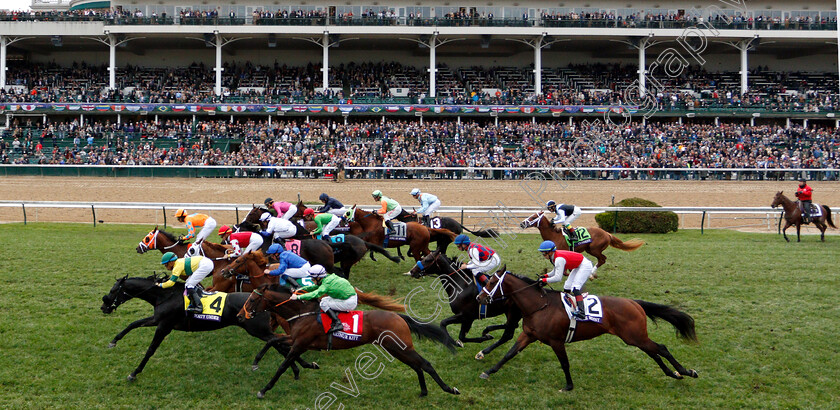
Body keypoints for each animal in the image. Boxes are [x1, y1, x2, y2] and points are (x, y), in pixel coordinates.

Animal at [101, 274, 318, 382]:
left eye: (113, 290)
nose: (104, 307)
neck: (165, 295)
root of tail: (265, 304)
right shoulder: (158, 319)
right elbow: (133, 324)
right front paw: (113, 341)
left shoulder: (164, 325)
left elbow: (150, 350)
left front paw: (134, 373)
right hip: (260, 331)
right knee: (281, 344)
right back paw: (300, 368)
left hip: (258, 330)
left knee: (280, 343)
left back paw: (302, 366)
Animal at [236, 286, 462, 398]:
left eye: (252, 300)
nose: (239, 316)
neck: (302, 313)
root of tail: (399, 317)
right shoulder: (296, 338)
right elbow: (273, 340)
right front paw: (256, 362)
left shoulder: (300, 343)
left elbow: (282, 365)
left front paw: (264, 389)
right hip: (395, 348)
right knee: (416, 366)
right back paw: (424, 392)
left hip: (400, 346)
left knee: (425, 364)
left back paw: (450, 389)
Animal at [476, 270, 700, 390]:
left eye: (492, 281)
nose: (479, 297)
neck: (539, 306)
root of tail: (634, 303)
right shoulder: (529, 335)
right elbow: (509, 354)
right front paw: (488, 371)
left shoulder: (556, 341)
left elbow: (564, 363)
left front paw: (568, 386)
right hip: (633, 338)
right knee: (654, 352)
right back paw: (673, 374)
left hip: (634, 336)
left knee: (661, 348)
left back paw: (686, 371)